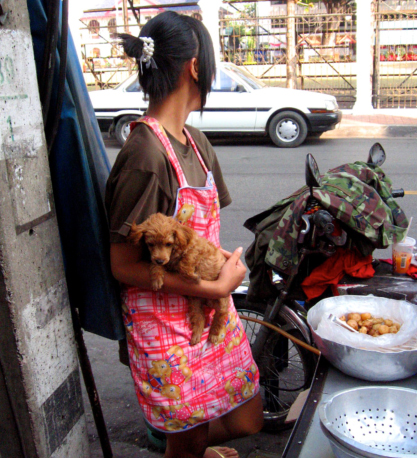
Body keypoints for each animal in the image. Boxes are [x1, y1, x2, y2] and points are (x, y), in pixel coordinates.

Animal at [129, 213, 228, 346]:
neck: (174, 251)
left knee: (220, 316)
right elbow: (156, 265)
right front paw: (156, 279)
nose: (160, 260)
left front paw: (193, 277)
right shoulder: (163, 261)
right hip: (195, 302)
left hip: (222, 302)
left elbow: (185, 262)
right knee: (200, 317)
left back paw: (213, 335)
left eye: (168, 244)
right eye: (150, 244)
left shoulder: (194, 249)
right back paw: (196, 336)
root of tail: (208, 302)